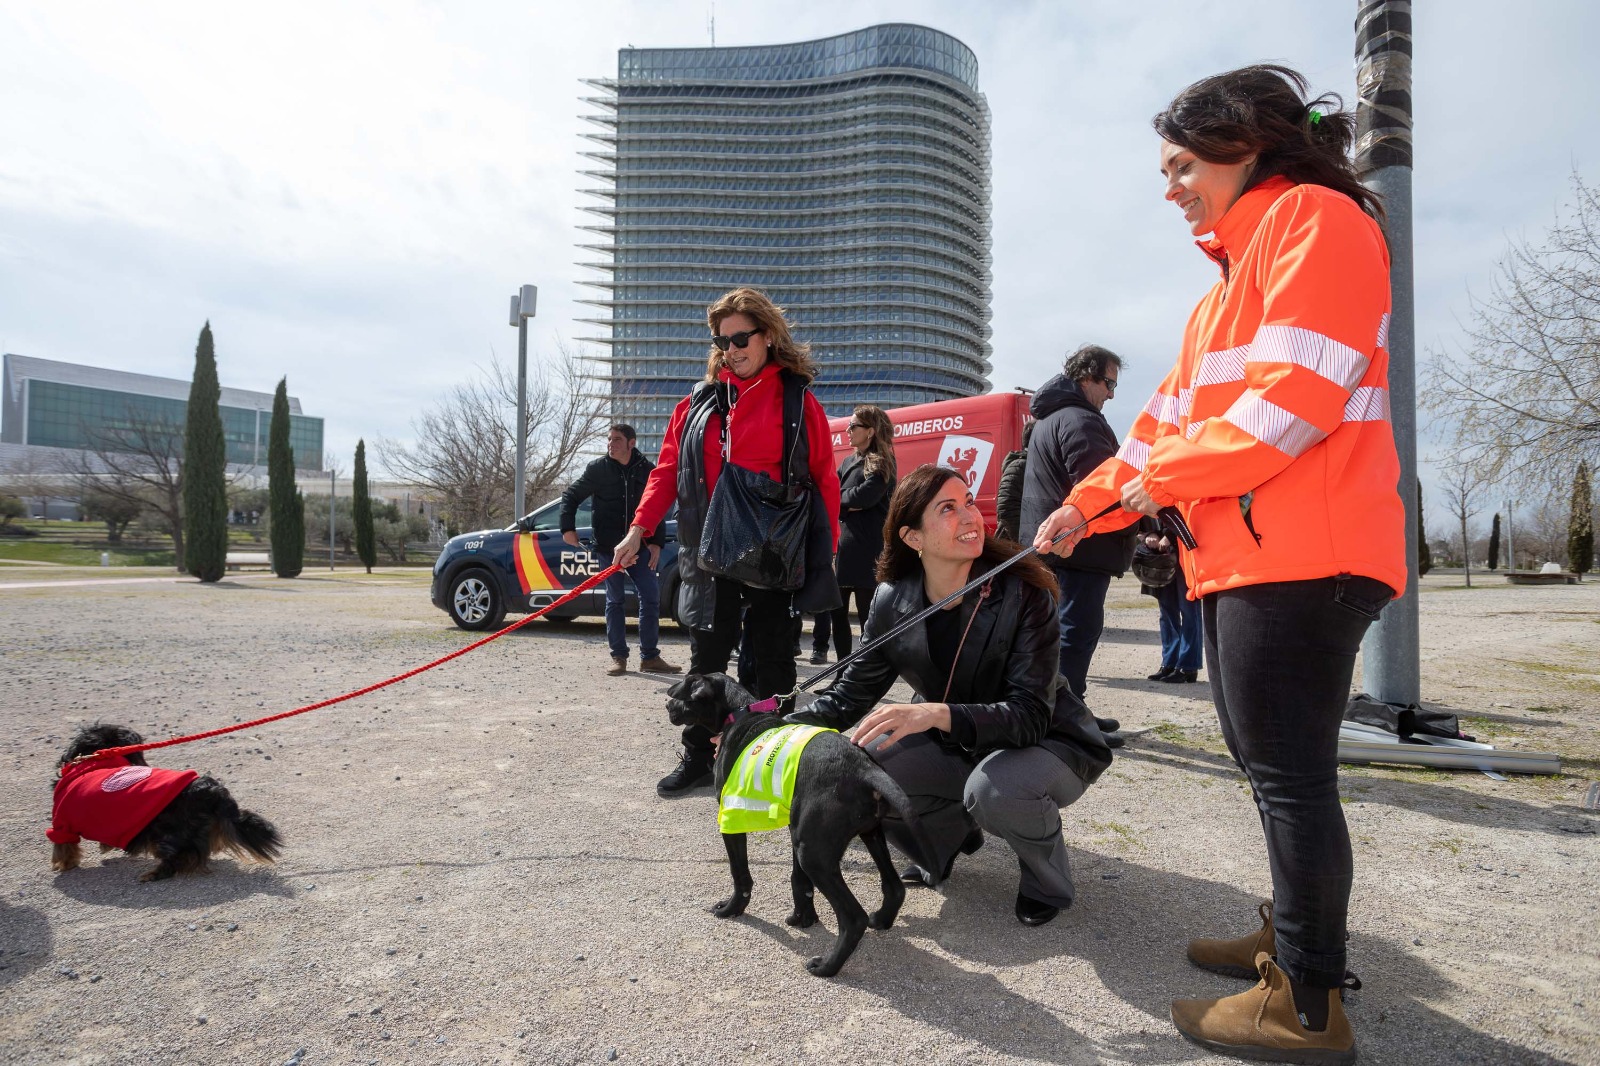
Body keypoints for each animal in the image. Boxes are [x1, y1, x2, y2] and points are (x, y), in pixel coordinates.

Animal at [50, 724, 283, 882]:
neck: (91, 760)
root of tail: (213, 791)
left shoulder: (61, 825)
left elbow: (64, 847)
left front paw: (65, 865)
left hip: (167, 834)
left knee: (179, 859)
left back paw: (153, 874)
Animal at [665, 673, 941, 978]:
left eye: (682, 691)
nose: (667, 705)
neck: (738, 712)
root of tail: (864, 769)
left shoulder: (732, 818)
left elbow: (741, 875)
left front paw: (731, 909)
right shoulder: (794, 826)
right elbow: (799, 881)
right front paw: (803, 918)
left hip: (814, 854)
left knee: (853, 918)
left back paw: (827, 966)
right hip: (864, 834)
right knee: (894, 887)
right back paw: (881, 919)